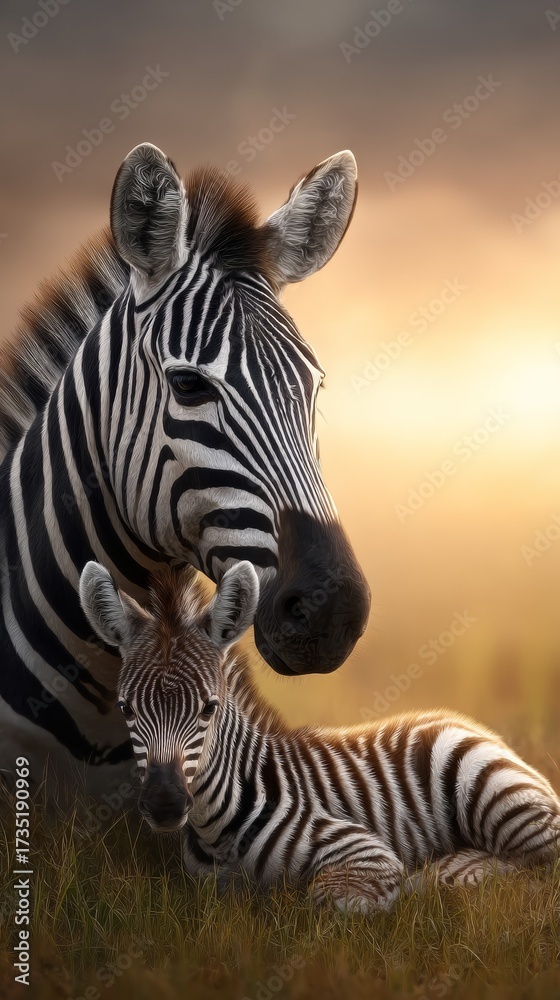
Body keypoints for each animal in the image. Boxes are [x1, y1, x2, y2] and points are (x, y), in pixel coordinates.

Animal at [80, 559, 560, 912]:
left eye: (208, 708)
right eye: (125, 708)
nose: (164, 805)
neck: (217, 827)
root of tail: (472, 726)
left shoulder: (366, 853)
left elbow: (317, 902)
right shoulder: (204, 886)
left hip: (495, 798)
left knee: (540, 867)